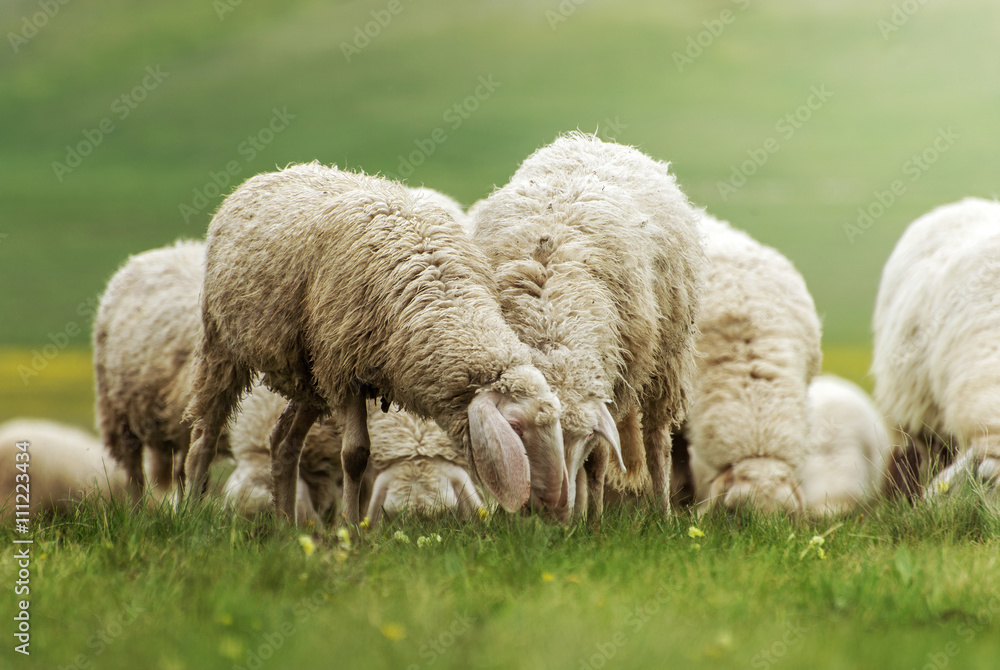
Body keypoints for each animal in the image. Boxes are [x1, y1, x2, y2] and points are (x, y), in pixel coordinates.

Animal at [183, 161, 566, 524]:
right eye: (515, 427)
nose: (553, 499)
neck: (438, 297)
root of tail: (274, 173)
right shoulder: (345, 371)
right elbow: (355, 457)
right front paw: (352, 530)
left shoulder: (338, 368)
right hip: (223, 342)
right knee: (206, 432)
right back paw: (190, 511)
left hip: (311, 373)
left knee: (283, 442)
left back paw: (285, 526)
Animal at [470, 132, 706, 517]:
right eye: (521, 430)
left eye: (582, 439)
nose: (555, 506)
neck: (550, 322)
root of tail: (596, 140)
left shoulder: (613, 386)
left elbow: (597, 464)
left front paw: (593, 521)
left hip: (666, 359)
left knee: (657, 441)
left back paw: (662, 511)